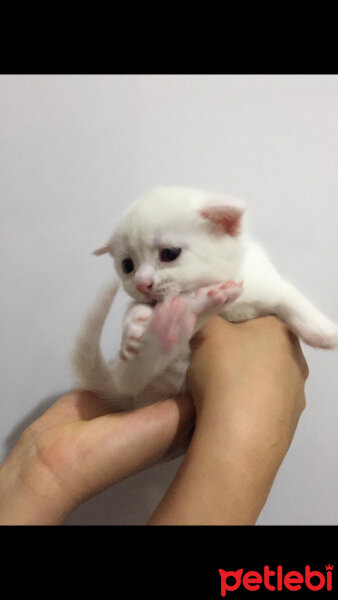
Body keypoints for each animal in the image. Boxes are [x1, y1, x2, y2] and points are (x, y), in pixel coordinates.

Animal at [72, 186, 338, 412]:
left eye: (169, 254)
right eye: (127, 266)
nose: (142, 284)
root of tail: (119, 387)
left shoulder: (267, 284)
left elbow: (292, 299)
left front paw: (325, 333)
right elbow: (136, 308)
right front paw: (135, 324)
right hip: (148, 375)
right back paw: (175, 321)